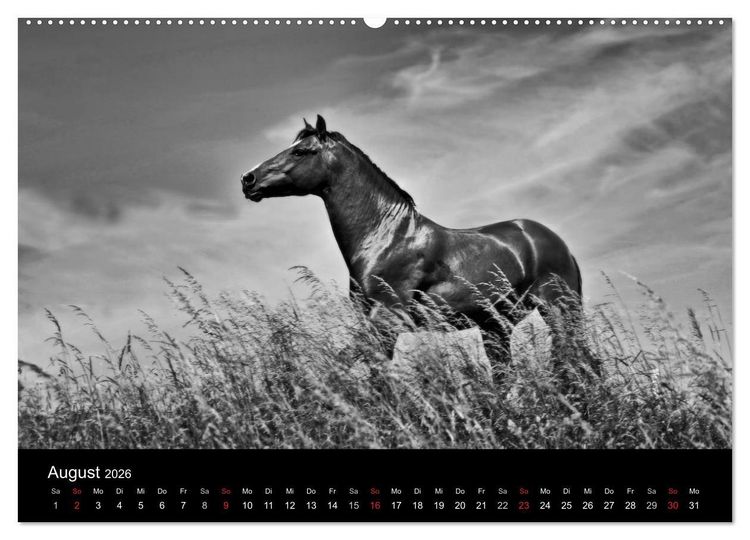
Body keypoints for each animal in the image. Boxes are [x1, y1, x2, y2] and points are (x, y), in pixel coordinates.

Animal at [241, 115, 598, 382]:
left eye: (301, 151)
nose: (248, 179)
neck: (386, 238)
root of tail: (555, 242)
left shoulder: (387, 319)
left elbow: (343, 366)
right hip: (497, 326)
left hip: (559, 310)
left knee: (576, 362)